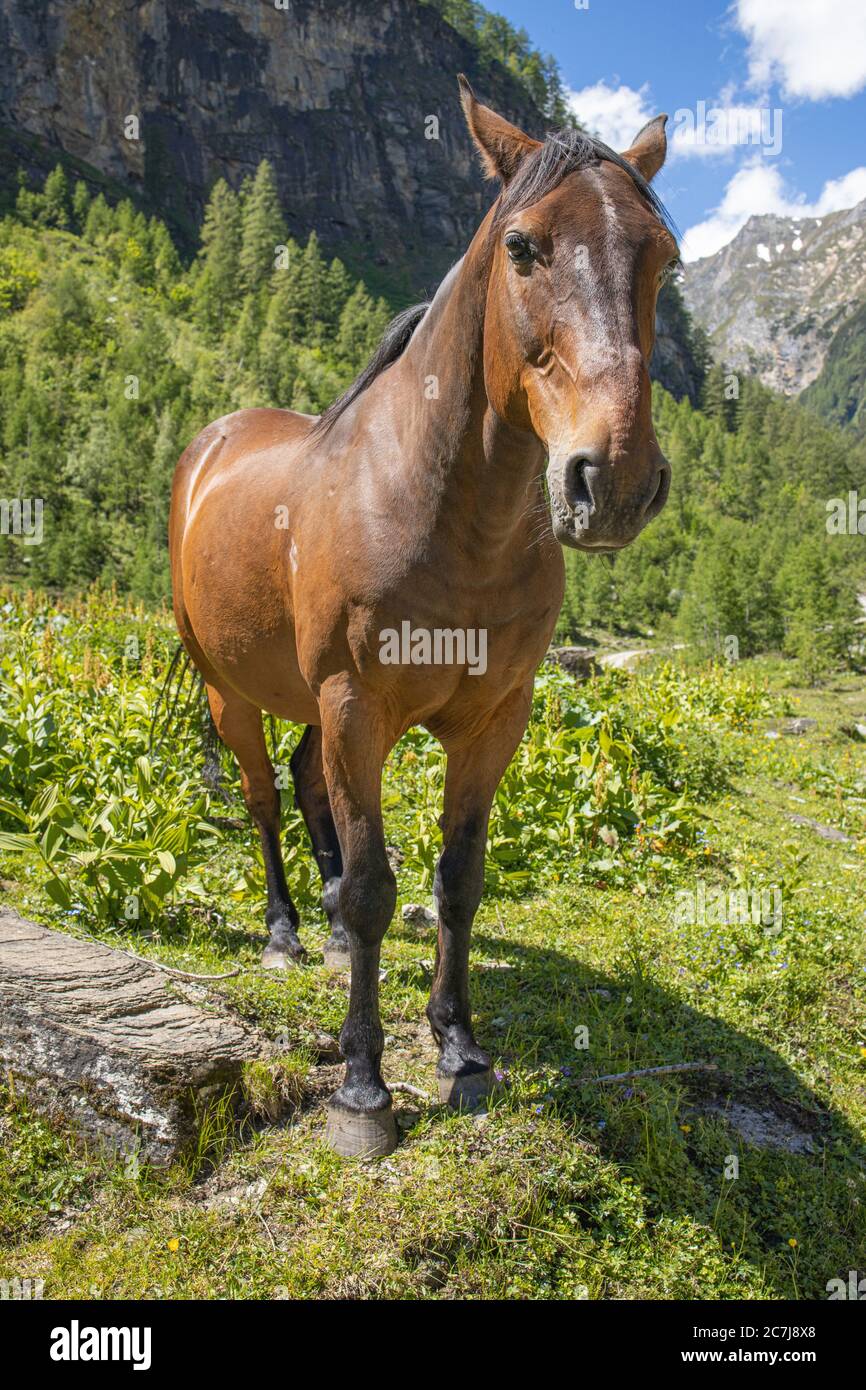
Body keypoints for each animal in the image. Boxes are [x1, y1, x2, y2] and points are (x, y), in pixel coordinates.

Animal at [169, 81, 678, 1156]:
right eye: (523, 246)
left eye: (664, 258)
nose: (613, 480)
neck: (446, 514)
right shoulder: (356, 705)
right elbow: (375, 888)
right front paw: (364, 1088)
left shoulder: (495, 720)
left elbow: (457, 879)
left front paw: (460, 1048)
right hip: (232, 690)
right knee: (265, 799)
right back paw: (285, 931)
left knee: (304, 787)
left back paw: (318, 927)